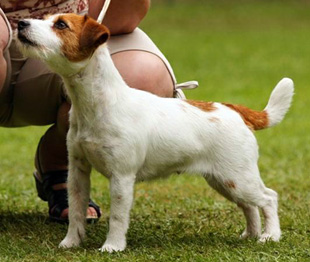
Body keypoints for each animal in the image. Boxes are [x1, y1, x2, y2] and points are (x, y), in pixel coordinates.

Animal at [18, 13, 294, 252]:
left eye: (61, 25)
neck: (99, 104)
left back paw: (270, 236)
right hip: (225, 181)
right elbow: (76, 210)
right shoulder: (77, 171)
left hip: (238, 177)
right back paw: (251, 234)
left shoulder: (122, 177)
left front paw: (112, 246)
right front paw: (71, 242)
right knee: (250, 206)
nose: (21, 23)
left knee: (268, 198)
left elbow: (118, 216)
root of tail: (235, 110)